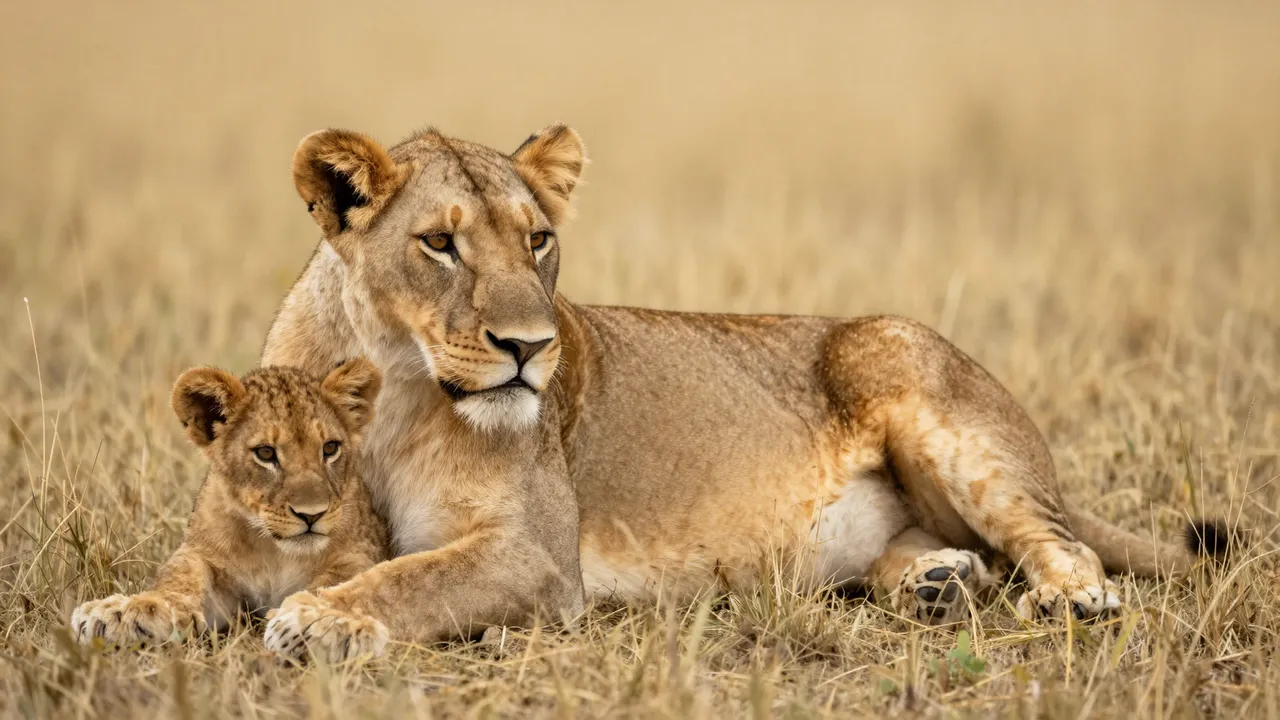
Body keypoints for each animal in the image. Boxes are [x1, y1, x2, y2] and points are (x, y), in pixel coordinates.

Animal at [71, 360, 389, 654]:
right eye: (265, 453)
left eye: (330, 448)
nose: (312, 514)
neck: (274, 552)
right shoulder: (206, 557)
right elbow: (179, 575)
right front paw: (124, 613)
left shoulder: (358, 555)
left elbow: (348, 584)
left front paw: (325, 622)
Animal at [259, 124, 1226, 661]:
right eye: (439, 244)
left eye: (537, 240)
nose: (531, 348)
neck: (399, 389)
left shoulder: (537, 555)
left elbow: (409, 580)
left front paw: (319, 621)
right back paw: (936, 583)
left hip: (917, 383)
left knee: (1065, 543)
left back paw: (1069, 599)